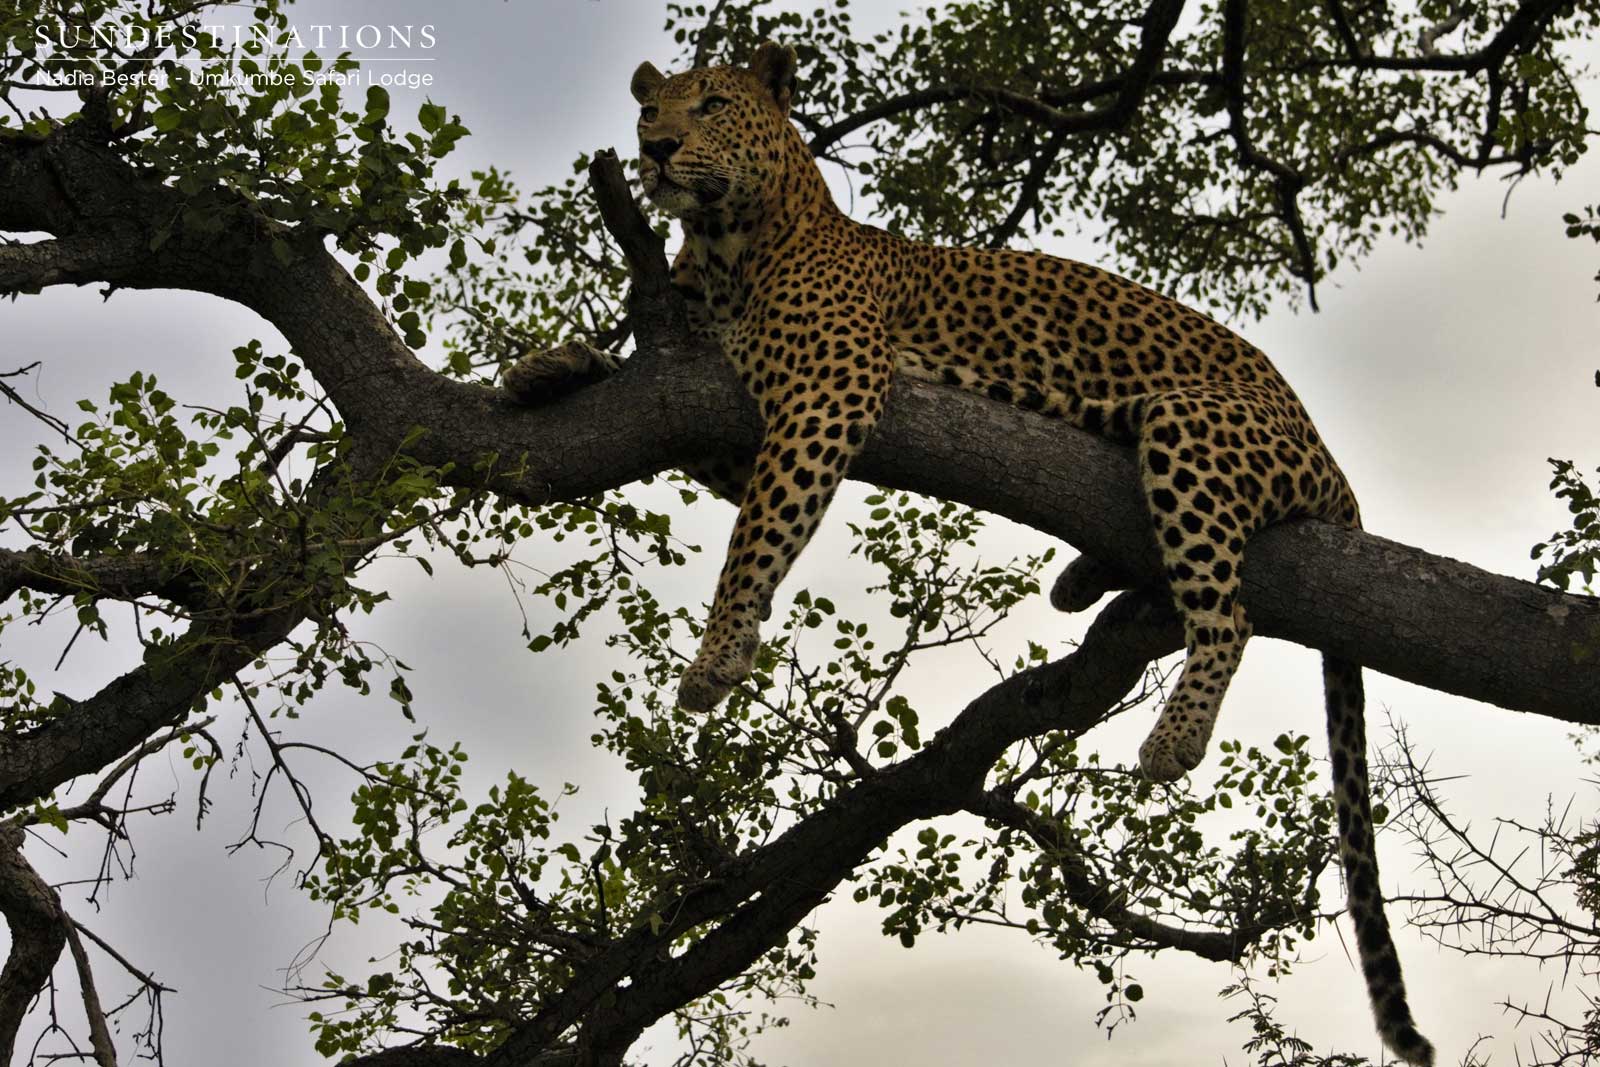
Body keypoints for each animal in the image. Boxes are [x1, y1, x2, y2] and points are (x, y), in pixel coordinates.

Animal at [504, 42, 1434, 1065]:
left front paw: (718, 654)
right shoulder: (725, 416)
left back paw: (1173, 738)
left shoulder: (825, 392)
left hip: (1193, 426)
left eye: (709, 105)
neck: (722, 250)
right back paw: (1081, 581)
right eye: (649, 113)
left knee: (1226, 610)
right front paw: (547, 367)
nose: (659, 148)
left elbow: (757, 538)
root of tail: (1329, 457)